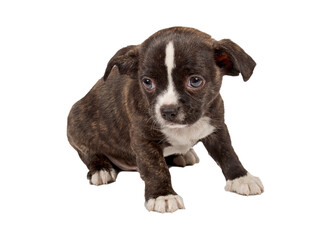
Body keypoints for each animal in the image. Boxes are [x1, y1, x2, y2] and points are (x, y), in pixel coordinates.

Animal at [67, 26, 264, 214]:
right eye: (147, 82)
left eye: (195, 81)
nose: (168, 111)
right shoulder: (144, 140)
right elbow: (155, 168)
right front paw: (163, 195)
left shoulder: (216, 127)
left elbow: (227, 152)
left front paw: (241, 177)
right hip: (76, 123)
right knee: (88, 153)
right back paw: (101, 169)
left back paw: (182, 154)